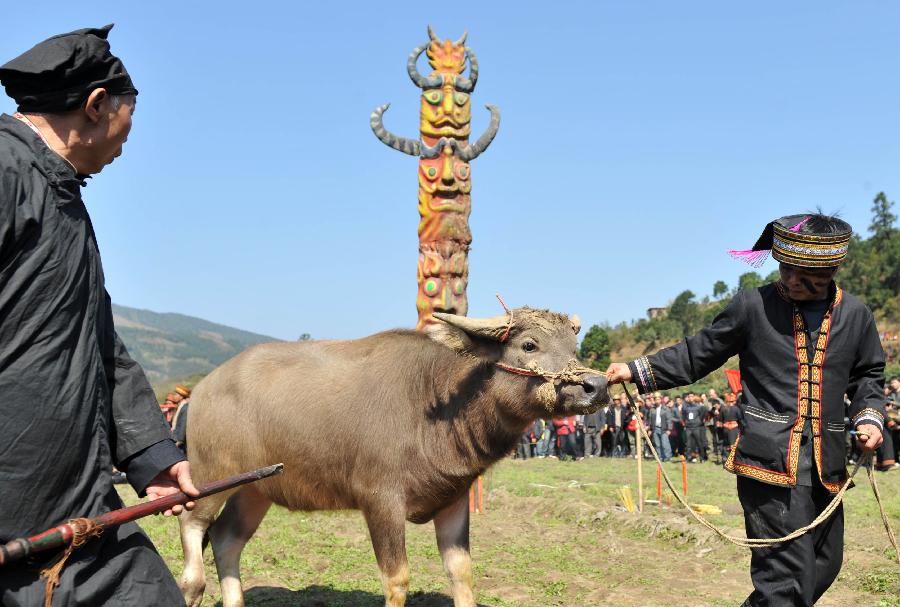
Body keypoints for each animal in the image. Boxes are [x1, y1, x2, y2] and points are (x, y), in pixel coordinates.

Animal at [178, 308, 604, 607]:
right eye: (529, 345)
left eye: (573, 346)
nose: (596, 385)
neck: (435, 399)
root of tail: (202, 390)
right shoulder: (379, 500)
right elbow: (397, 579)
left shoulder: (454, 499)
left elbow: (461, 573)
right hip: (210, 475)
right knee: (192, 525)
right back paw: (192, 584)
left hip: (255, 490)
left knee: (227, 540)